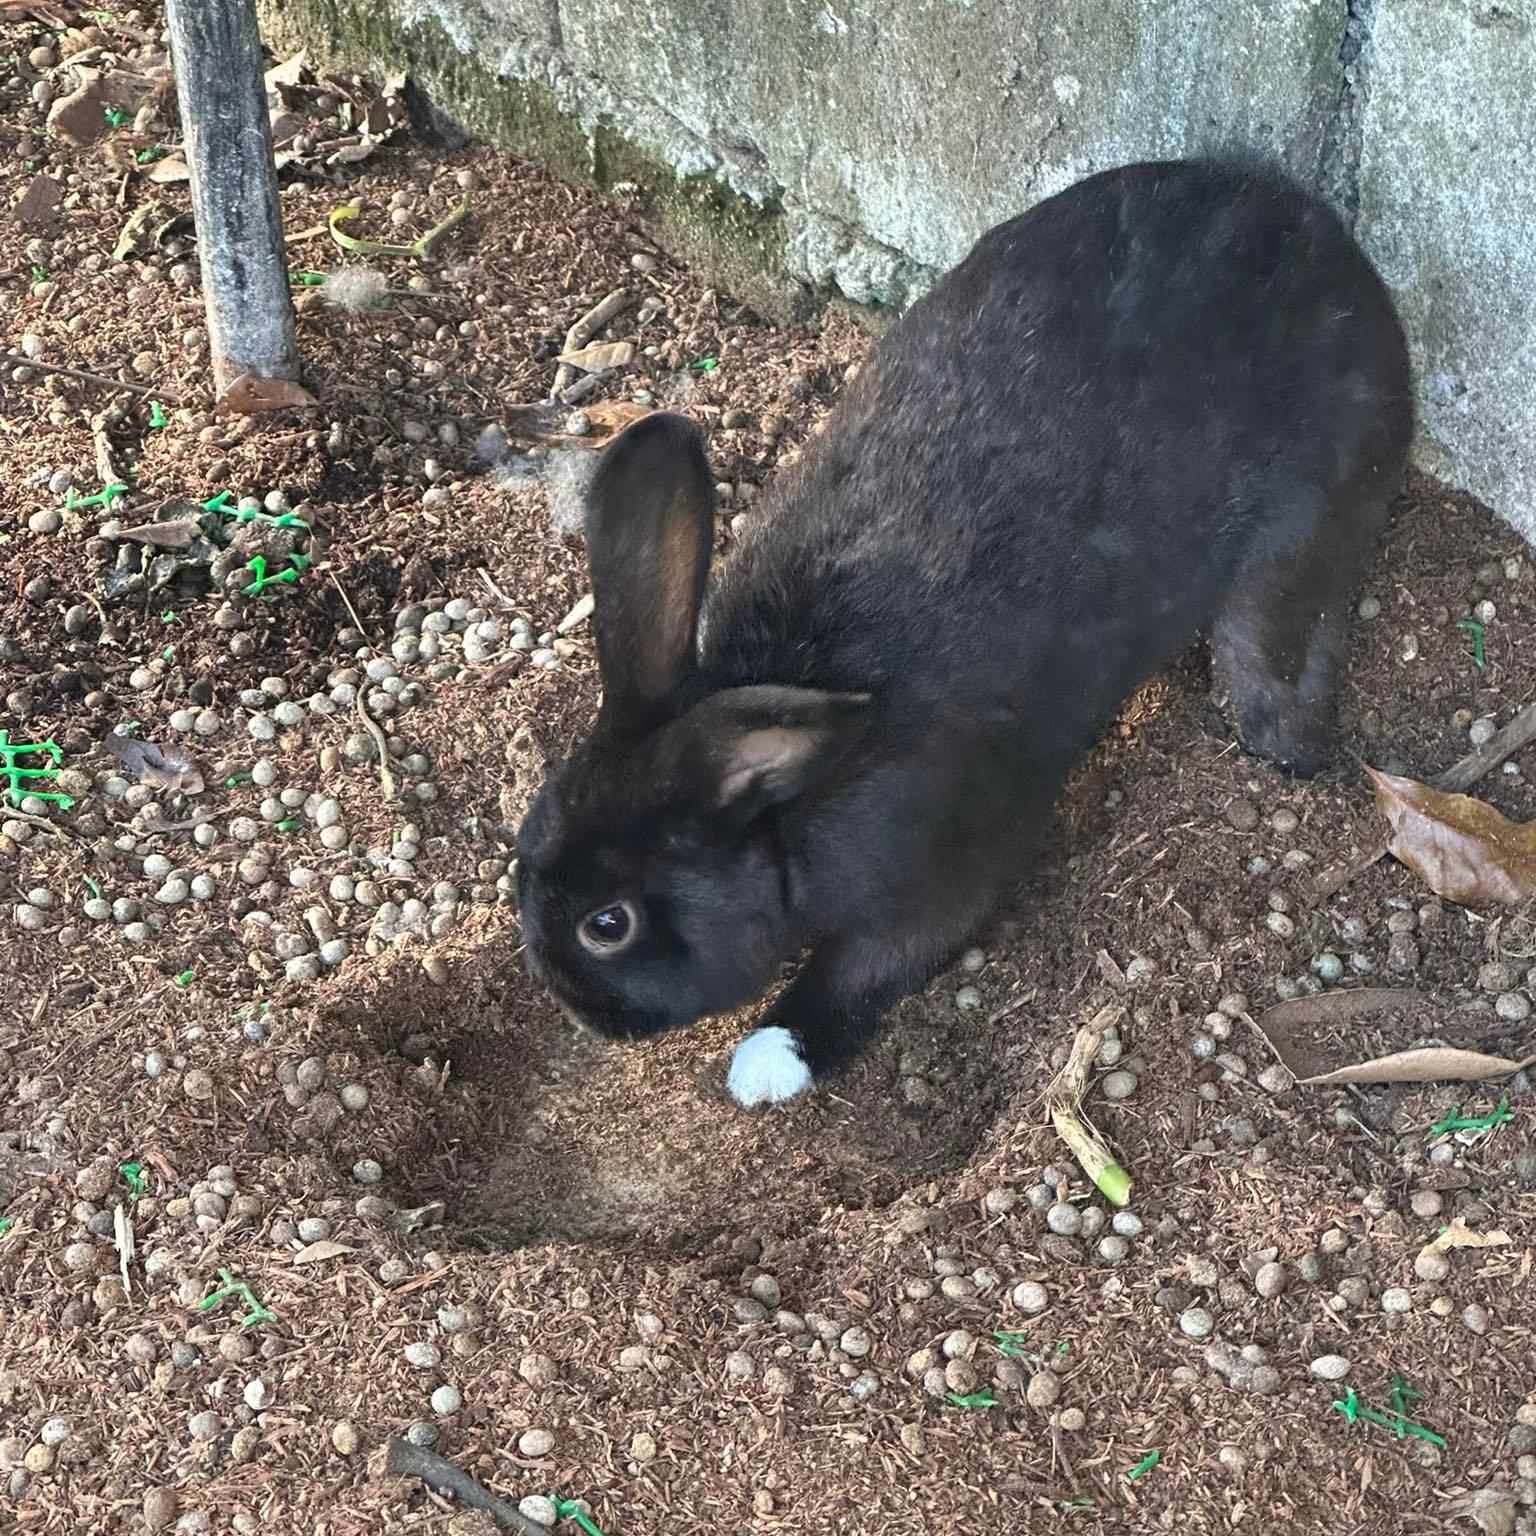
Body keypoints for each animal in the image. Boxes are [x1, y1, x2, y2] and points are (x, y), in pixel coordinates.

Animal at [515, 155, 1413, 1108]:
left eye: (609, 923)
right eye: (526, 847)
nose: (581, 1012)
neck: (783, 813)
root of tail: (1320, 236)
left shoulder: (937, 882)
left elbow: (865, 970)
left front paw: (767, 1062)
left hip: (1305, 523)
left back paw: (1288, 749)